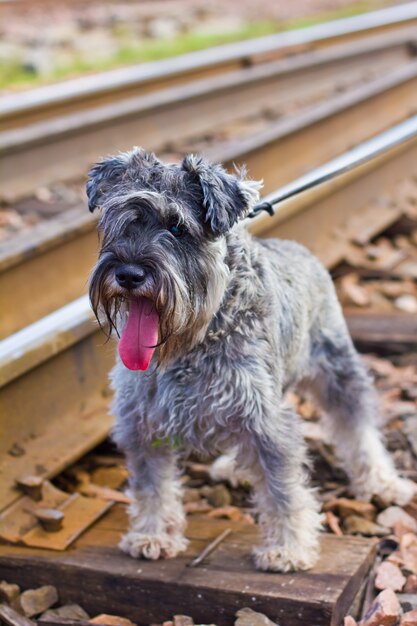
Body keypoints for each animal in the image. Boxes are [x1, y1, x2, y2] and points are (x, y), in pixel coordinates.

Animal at [86, 147, 414, 572]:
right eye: (120, 221)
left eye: (177, 228)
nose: (128, 274)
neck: (195, 338)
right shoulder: (141, 421)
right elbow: (151, 486)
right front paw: (151, 535)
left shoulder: (266, 421)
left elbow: (283, 488)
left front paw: (287, 548)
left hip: (337, 371)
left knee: (357, 425)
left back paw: (381, 481)